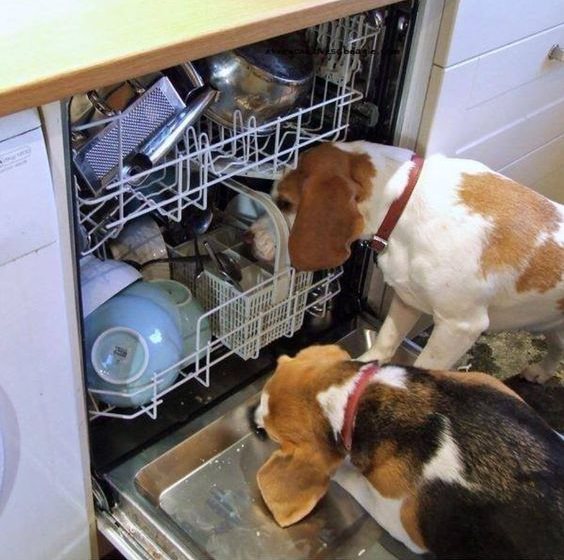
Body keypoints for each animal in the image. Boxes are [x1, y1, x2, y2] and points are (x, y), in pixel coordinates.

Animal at [251, 142, 564, 382]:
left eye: (285, 203)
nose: (247, 236)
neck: (402, 203)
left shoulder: (459, 326)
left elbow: (425, 365)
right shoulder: (407, 297)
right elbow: (385, 340)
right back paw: (542, 371)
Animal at [256, 344, 564, 556]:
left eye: (271, 432)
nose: (253, 417)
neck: (357, 399)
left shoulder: (399, 519)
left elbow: (348, 476)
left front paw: (342, 470)